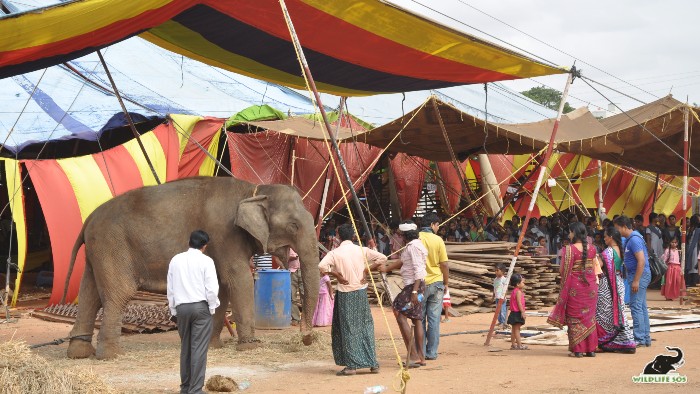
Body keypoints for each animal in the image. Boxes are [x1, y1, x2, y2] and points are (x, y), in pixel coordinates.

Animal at [62, 177, 320, 358]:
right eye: (294, 225)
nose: (307, 337)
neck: (254, 190)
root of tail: (88, 220)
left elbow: (221, 287)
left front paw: (213, 346)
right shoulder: (225, 234)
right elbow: (239, 280)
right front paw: (250, 348)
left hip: (98, 250)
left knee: (90, 293)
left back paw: (79, 354)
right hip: (112, 245)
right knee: (119, 293)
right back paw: (112, 355)